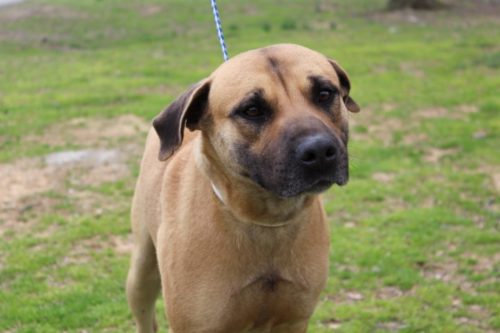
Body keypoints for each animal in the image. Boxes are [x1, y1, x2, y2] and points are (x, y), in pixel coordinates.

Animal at [125, 44, 360, 332]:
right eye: (252, 110)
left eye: (325, 94)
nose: (319, 151)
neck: (265, 219)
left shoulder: (293, 319)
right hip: (141, 271)